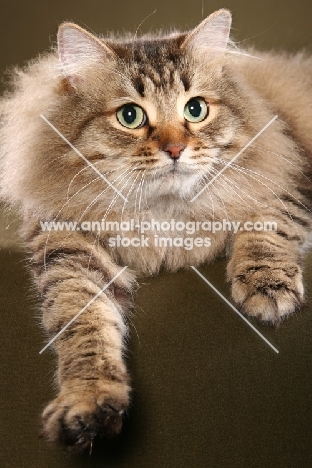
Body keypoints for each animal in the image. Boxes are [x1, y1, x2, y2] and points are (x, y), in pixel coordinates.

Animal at [0, 7, 312, 452]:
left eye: (196, 109)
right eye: (130, 116)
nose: (175, 149)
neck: (163, 212)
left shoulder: (287, 176)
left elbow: (266, 229)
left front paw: (267, 289)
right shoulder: (69, 248)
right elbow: (84, 327)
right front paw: (88, 402)